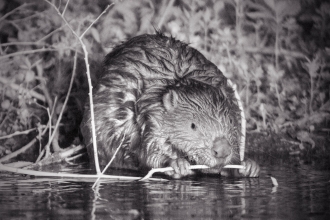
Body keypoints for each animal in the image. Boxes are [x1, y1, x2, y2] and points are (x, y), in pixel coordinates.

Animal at [80, 32, 260, 179]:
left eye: (230, 121)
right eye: (193, 125)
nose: (222, 150)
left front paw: (248, 165)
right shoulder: (152, 115)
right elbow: (149, 151)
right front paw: (177, 164)